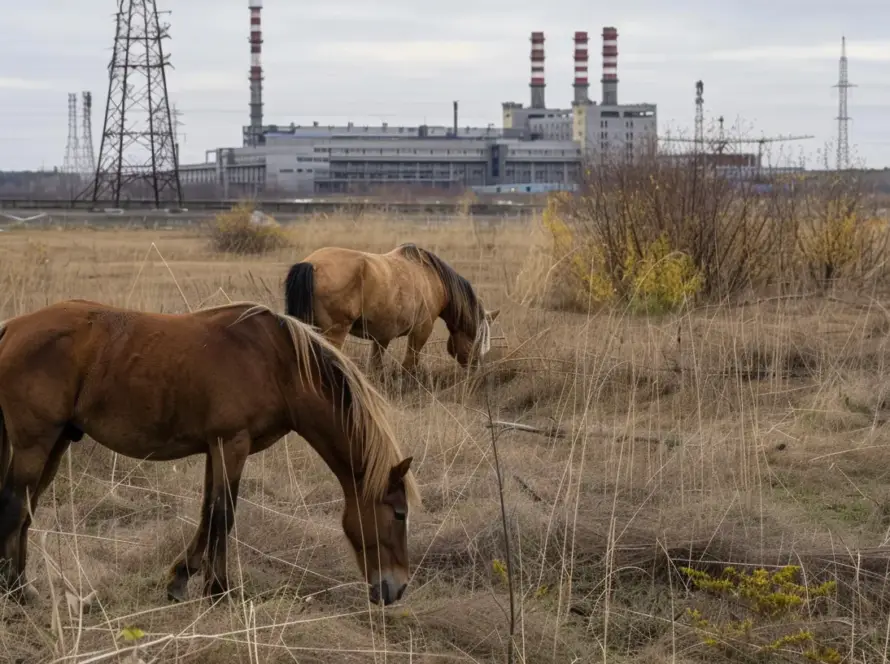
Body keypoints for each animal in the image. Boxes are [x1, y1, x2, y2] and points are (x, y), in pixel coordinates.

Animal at [0, 300, 420, 608]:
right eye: (399, 514)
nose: (396, 589)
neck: (277, 363)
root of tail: (11, 328)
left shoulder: (213, 449)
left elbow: (208, 511)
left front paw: (181, 580)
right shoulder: (231, 444)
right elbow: (224, 514)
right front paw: (219, 590)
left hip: (55, 444)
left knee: (27, 508)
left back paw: (23, 588)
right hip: (35, 444)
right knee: (15, 505)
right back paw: (16, 591)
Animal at [280, 243, 496, 374]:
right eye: (479, 339)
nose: (475, 371)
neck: (434, 279)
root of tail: (312, 264)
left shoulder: (382, 336)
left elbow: (376, 365)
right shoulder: (421, 331)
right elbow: (409, 364)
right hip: (334, 333)